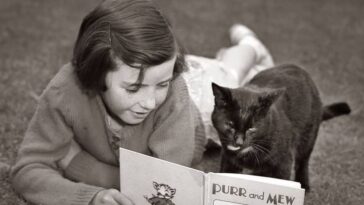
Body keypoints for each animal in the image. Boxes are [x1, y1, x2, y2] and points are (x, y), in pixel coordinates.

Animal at [210, 64, 350, 191]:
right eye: (230, 124)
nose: (239, 142)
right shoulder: (228, 159)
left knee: (303, 161)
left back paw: (304, 184)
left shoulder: (283, 162)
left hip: (308, 134)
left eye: (251, 128)